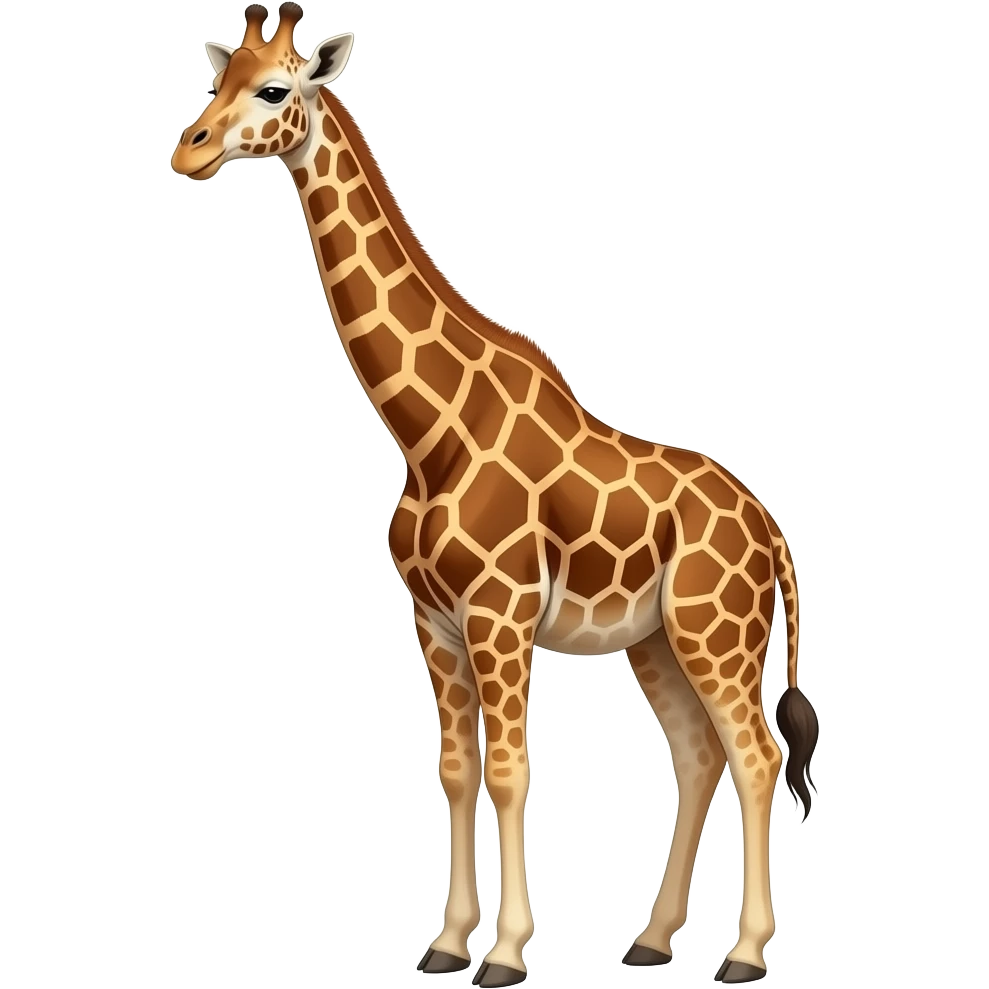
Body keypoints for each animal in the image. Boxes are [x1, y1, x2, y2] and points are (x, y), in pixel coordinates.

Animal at [170, 5, 820, 985]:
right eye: (219, 79)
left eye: (276, 88)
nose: (190, 149)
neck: (425, 432)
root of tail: (771, 531)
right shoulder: (432, 621)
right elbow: (457, 769)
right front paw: (445, 943)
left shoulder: (499, 613)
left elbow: (513, 769)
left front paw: (506, 952)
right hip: (656, 640)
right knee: (699, 752)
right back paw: (651, 938)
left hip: (717, 631)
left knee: (756, 752)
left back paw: (742, 952)